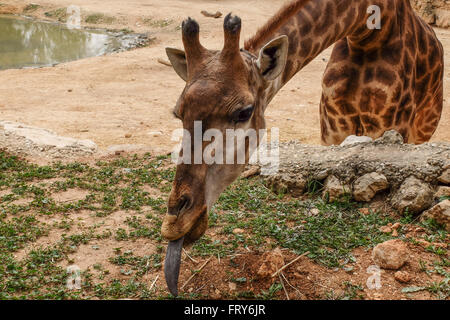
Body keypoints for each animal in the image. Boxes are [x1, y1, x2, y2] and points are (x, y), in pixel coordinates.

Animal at [161, 0, 442, 296]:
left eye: (244, 112)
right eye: (178, 112)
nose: (175, 224)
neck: (367, 32)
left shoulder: (390, 128)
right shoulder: (332, 130)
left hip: (421, 130)